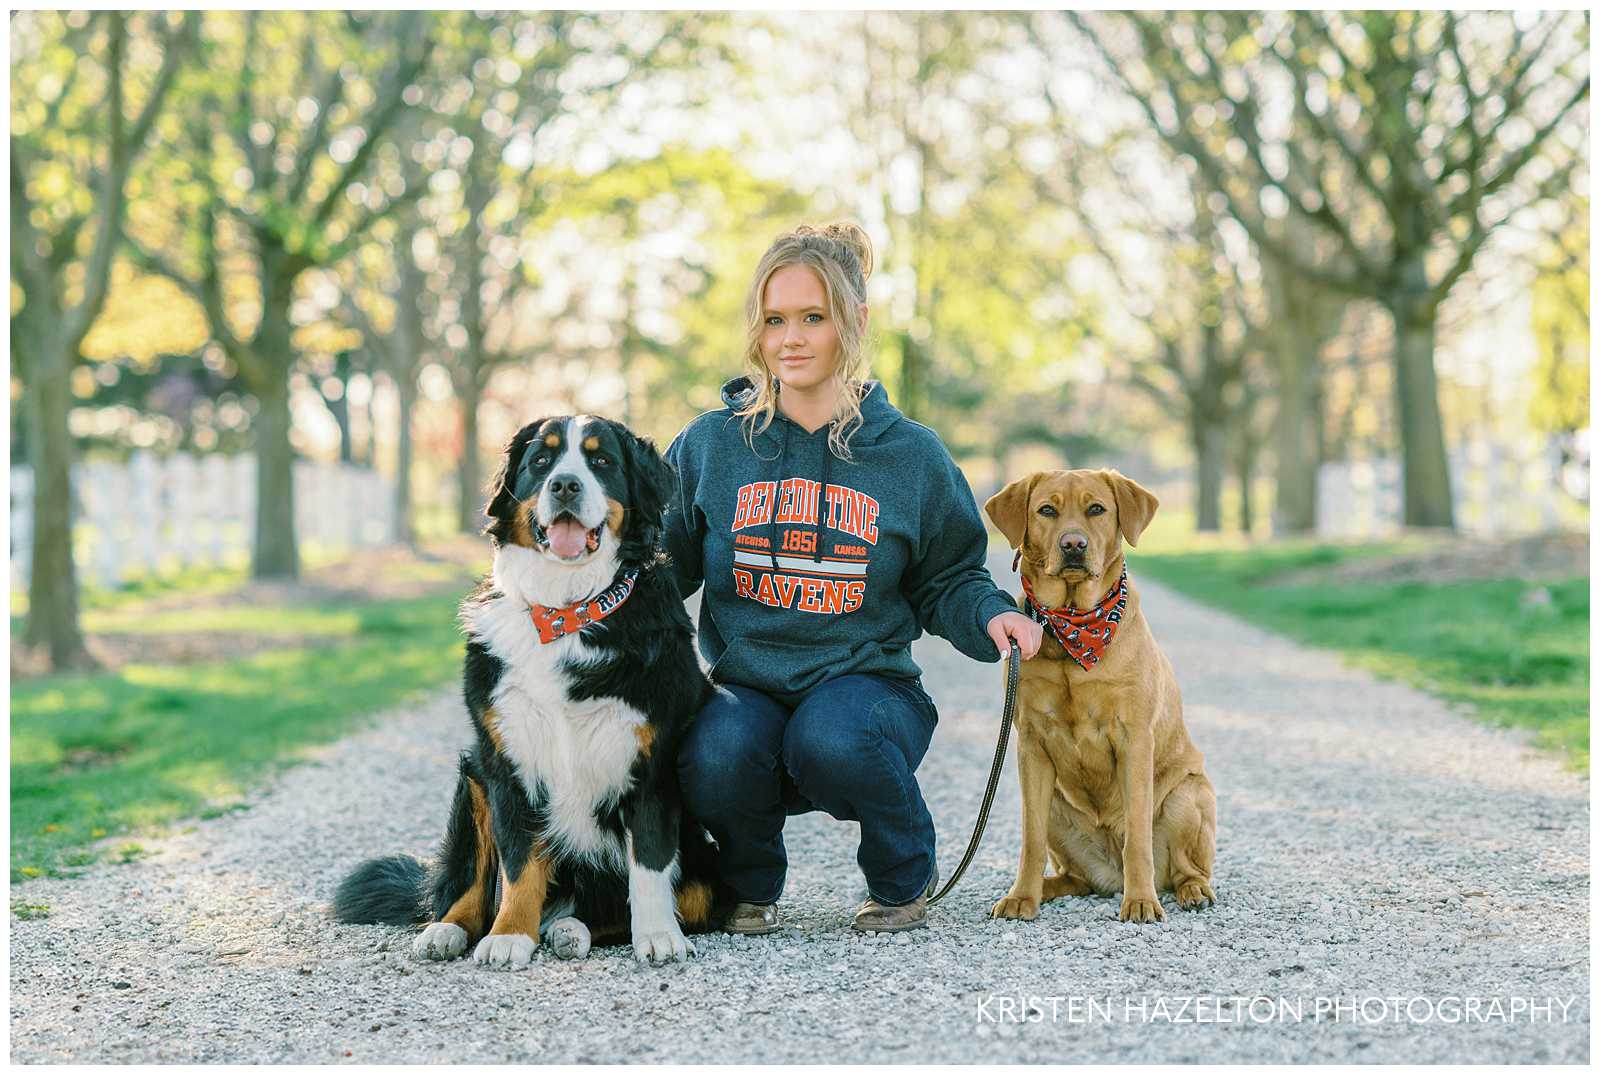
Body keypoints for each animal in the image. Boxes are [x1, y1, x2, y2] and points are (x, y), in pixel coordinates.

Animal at [337, 412, 726, 966]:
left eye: (601, 460)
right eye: (540, 461)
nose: (564, 484)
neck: (566, 612)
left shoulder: (652, 762)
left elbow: (650, 862)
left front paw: (656, 935)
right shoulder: (507, 762)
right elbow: (519, 864)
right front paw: (508, 936)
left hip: (705, 873)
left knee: (626, 907)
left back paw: (570, 929)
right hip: (472, 779)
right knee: (469, 883)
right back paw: (448, 929)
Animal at [985, 470, 1209, 921]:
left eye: (1096, 509)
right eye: (1046, 510)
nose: (1073, 544)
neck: (1073, 626)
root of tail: (1110, 876)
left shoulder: (1134, 739)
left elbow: (1137, 837)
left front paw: (1140, 901)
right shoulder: (1031, 744)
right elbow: (1030, 841)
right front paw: (1021, 896)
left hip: (1188, 795)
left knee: (1185, 869)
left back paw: (1190, 891)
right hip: (1055, 805)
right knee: (1074, 875)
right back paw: (1048, 888)